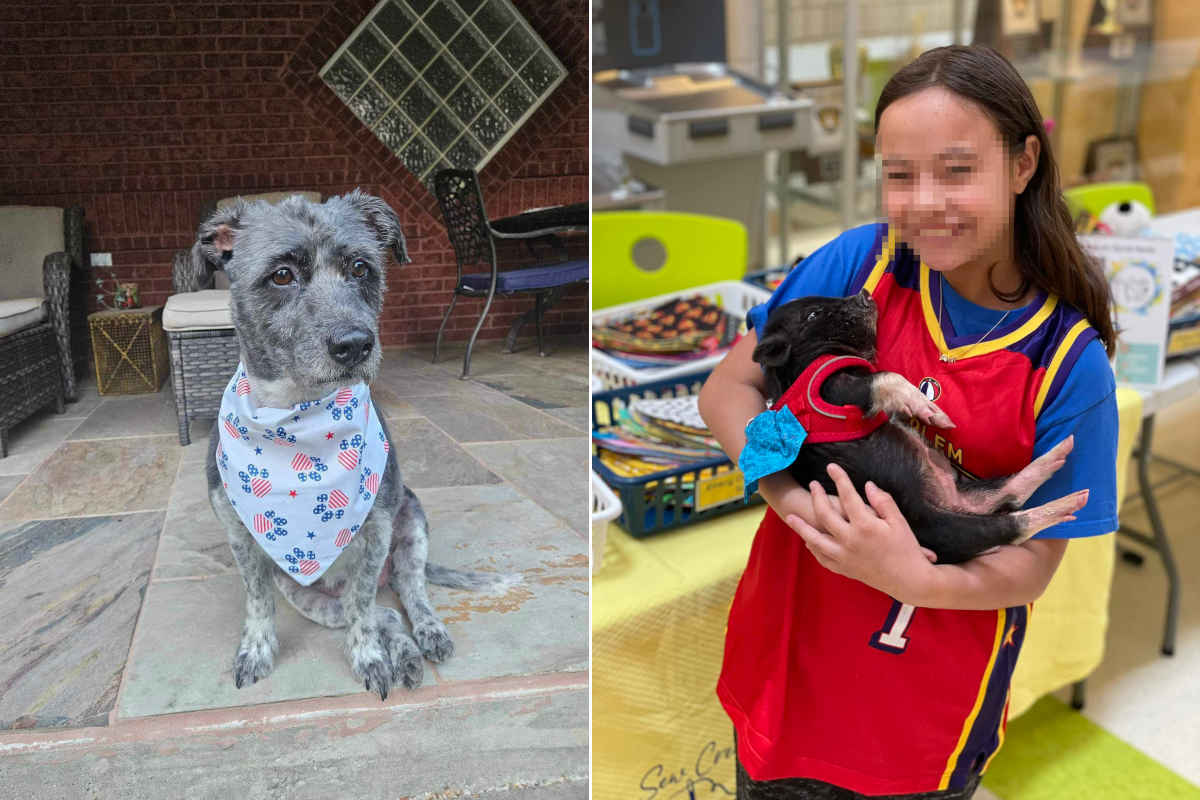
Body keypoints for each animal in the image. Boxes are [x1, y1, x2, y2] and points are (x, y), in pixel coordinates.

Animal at [753, 289, 1094, 563]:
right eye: (812, 314)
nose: (863, 293)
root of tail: (943, 502)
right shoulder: (831, 389)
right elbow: (885, 377)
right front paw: (938, 416)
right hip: (942, 527)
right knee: (1010, 526)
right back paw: (1073, 499)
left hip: (966, 494)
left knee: (1005, 492)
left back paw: (1065, 451)